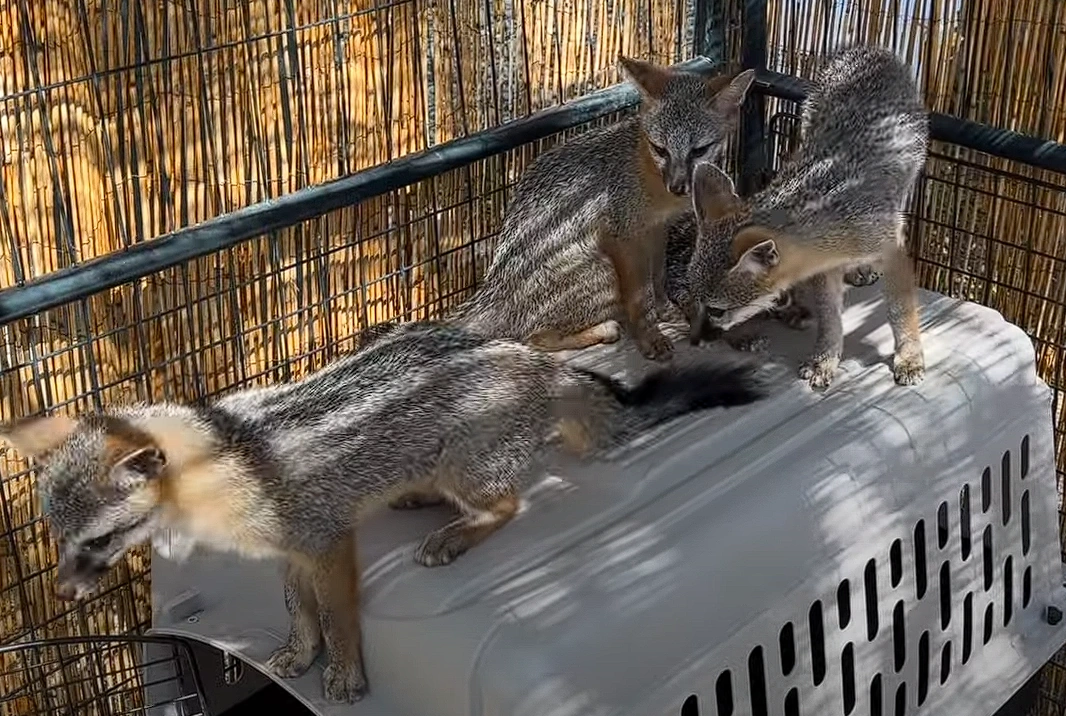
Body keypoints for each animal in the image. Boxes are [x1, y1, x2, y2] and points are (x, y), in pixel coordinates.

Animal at [0, 321, 769, 704]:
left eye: (99, 539)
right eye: (57, 538)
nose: (63, 592)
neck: (242, 454)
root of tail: (537, 359)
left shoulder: (328, 537)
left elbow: (339, 616)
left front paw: (344, 675)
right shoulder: (289, 551)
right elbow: (299, 609)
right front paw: (297, 652)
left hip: (469, 467)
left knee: (510, 501)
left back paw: (452, 535)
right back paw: (418, 498)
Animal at [453, 56, 757, 362]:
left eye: (699, 150)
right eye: (661, 149)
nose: (678, 186)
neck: (649, 175)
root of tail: (491, 295)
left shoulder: (657, 229)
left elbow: (658, 275)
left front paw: (664, 309)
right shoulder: (625, 237)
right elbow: (640, 296)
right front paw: (650, 336)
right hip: (604, 272)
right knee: (534, 338)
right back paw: (603, 330)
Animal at [679, 45, 929, 390]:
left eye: (716, 311)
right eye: (693, 300)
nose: (694, 341)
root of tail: (867, 49)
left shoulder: (893, 251)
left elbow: (900, 312)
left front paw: (909, 357)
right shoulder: (823, 267)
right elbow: (829, 319)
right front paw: (825, 360)